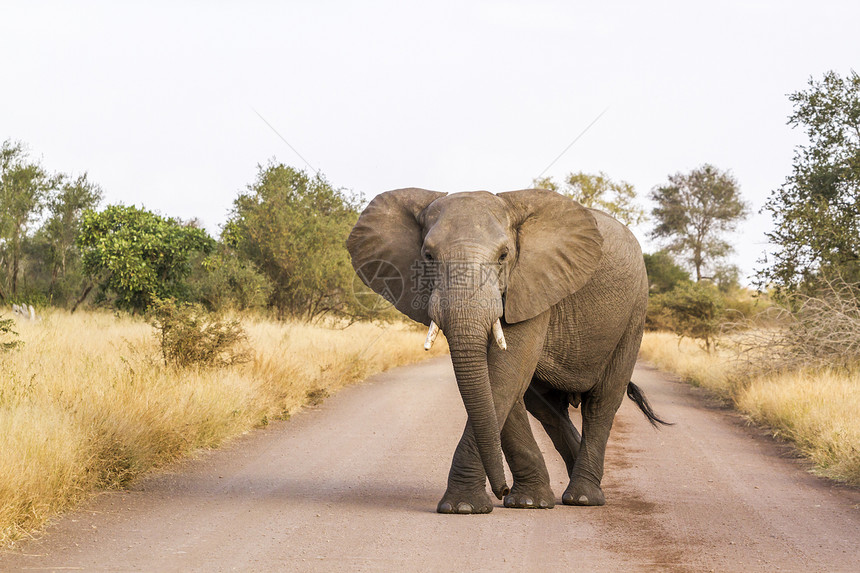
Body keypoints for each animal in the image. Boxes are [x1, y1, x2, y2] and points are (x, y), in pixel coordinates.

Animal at [346, 188, 668, 512]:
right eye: (427, 256)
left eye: (503, 256)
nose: (500, 489)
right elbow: (502, 384)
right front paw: (526, 502)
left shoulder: (534, 284)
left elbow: (505, 373)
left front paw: (463, 506)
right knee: (547, 409)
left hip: (634, 312)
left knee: (602, 403)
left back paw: (583, 498)